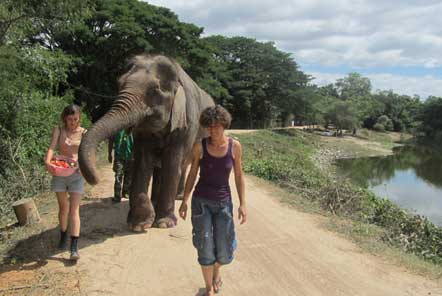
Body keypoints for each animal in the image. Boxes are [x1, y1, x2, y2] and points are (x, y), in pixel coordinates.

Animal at [80, 55, 217, 231]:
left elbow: (172, 164)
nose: (95, 178)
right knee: (160, 169)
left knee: (183, 165)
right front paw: (139, 225)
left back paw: (178, 197)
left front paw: (164, 224)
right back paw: (155, 202)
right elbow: (143, 163)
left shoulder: (185, 124)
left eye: (154, 90)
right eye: (120, 83)